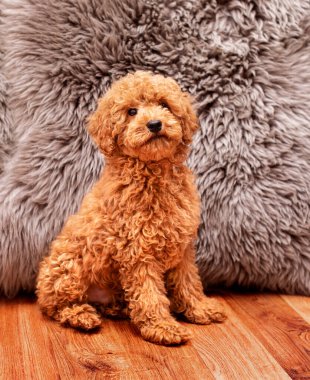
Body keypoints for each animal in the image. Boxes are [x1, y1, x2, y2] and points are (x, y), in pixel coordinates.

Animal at [36, 70, 226, 344]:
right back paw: (82, 315)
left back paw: (117, 308)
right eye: (132, 111)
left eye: (164, 105)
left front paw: (200, 308)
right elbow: (149, 294)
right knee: (56, 305)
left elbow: (189, 282)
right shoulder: (138, 252)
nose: (154, 124)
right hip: (68, 267)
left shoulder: (183, 247)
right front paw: (162, 327)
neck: (151, 173)